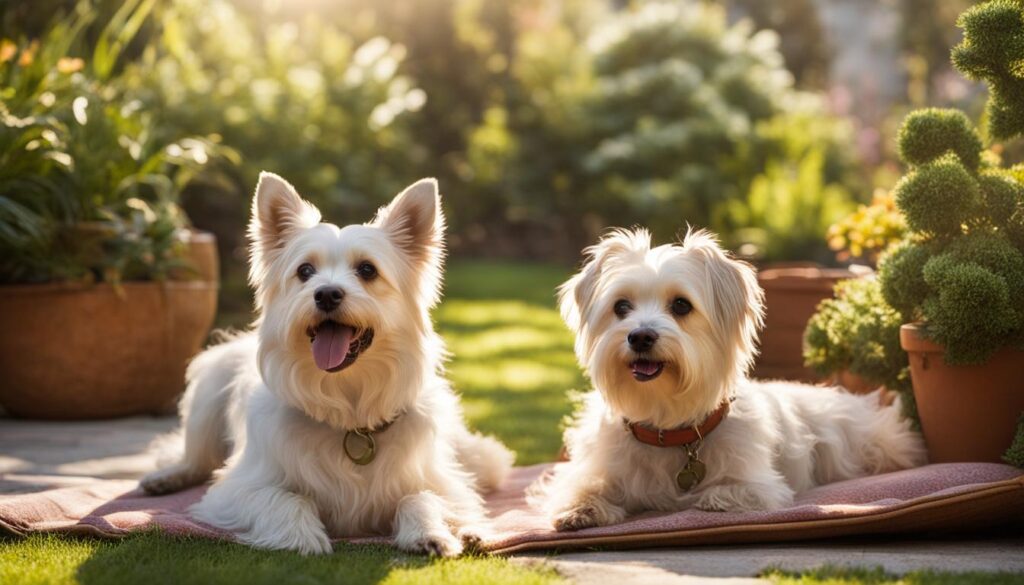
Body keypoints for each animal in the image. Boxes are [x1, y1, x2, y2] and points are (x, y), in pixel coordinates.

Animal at [138, 172, 512, 557]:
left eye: (367, 270)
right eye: (305, 271)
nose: (327, 294)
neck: (347, 409)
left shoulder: (445, 486)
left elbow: (422, 498)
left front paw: (430, 533)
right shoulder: (235, 490)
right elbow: (285, 499)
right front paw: (300, 537)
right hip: (207, 394)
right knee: (194, 458)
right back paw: (165, 478)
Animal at [536, 227, 929, 532]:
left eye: (681, 305)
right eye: (620, 307)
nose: (640, 337)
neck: (667, 423)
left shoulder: (761, 484)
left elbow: (729, 490)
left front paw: (714, 498)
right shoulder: (594, 468)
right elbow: (581, 486)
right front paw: (579, 509)